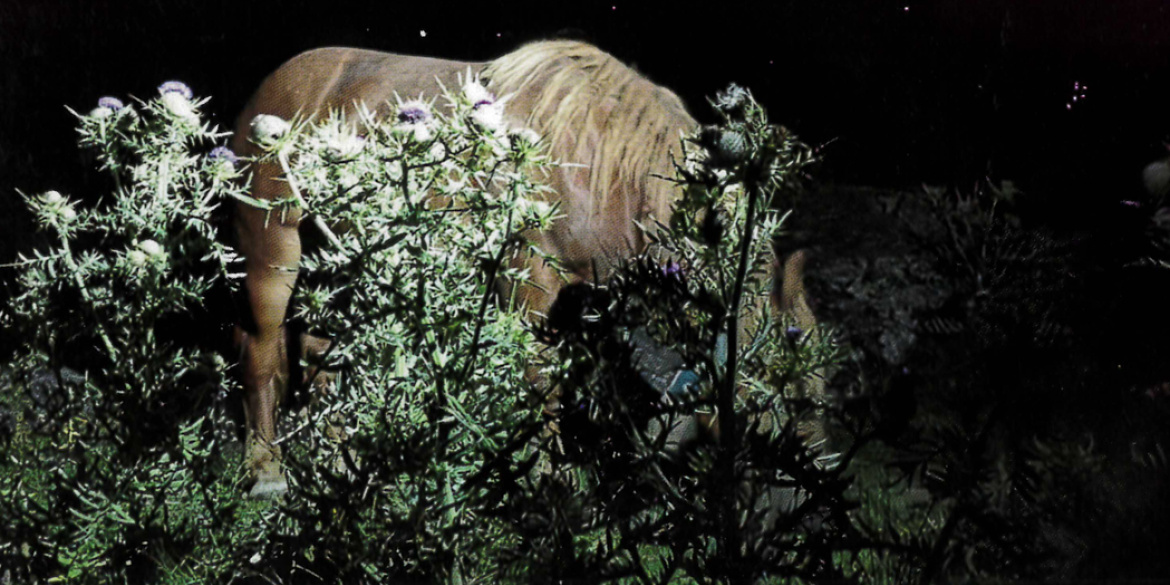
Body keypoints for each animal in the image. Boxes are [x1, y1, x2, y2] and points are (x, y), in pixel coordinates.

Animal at [230, 40, 820, 498]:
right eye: (790, 399)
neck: (602, 166)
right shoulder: (529, 289)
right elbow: (539, 390)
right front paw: (544, 485)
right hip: (273, 260)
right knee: (260, 352)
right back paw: (266, 472)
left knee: (320, 358)